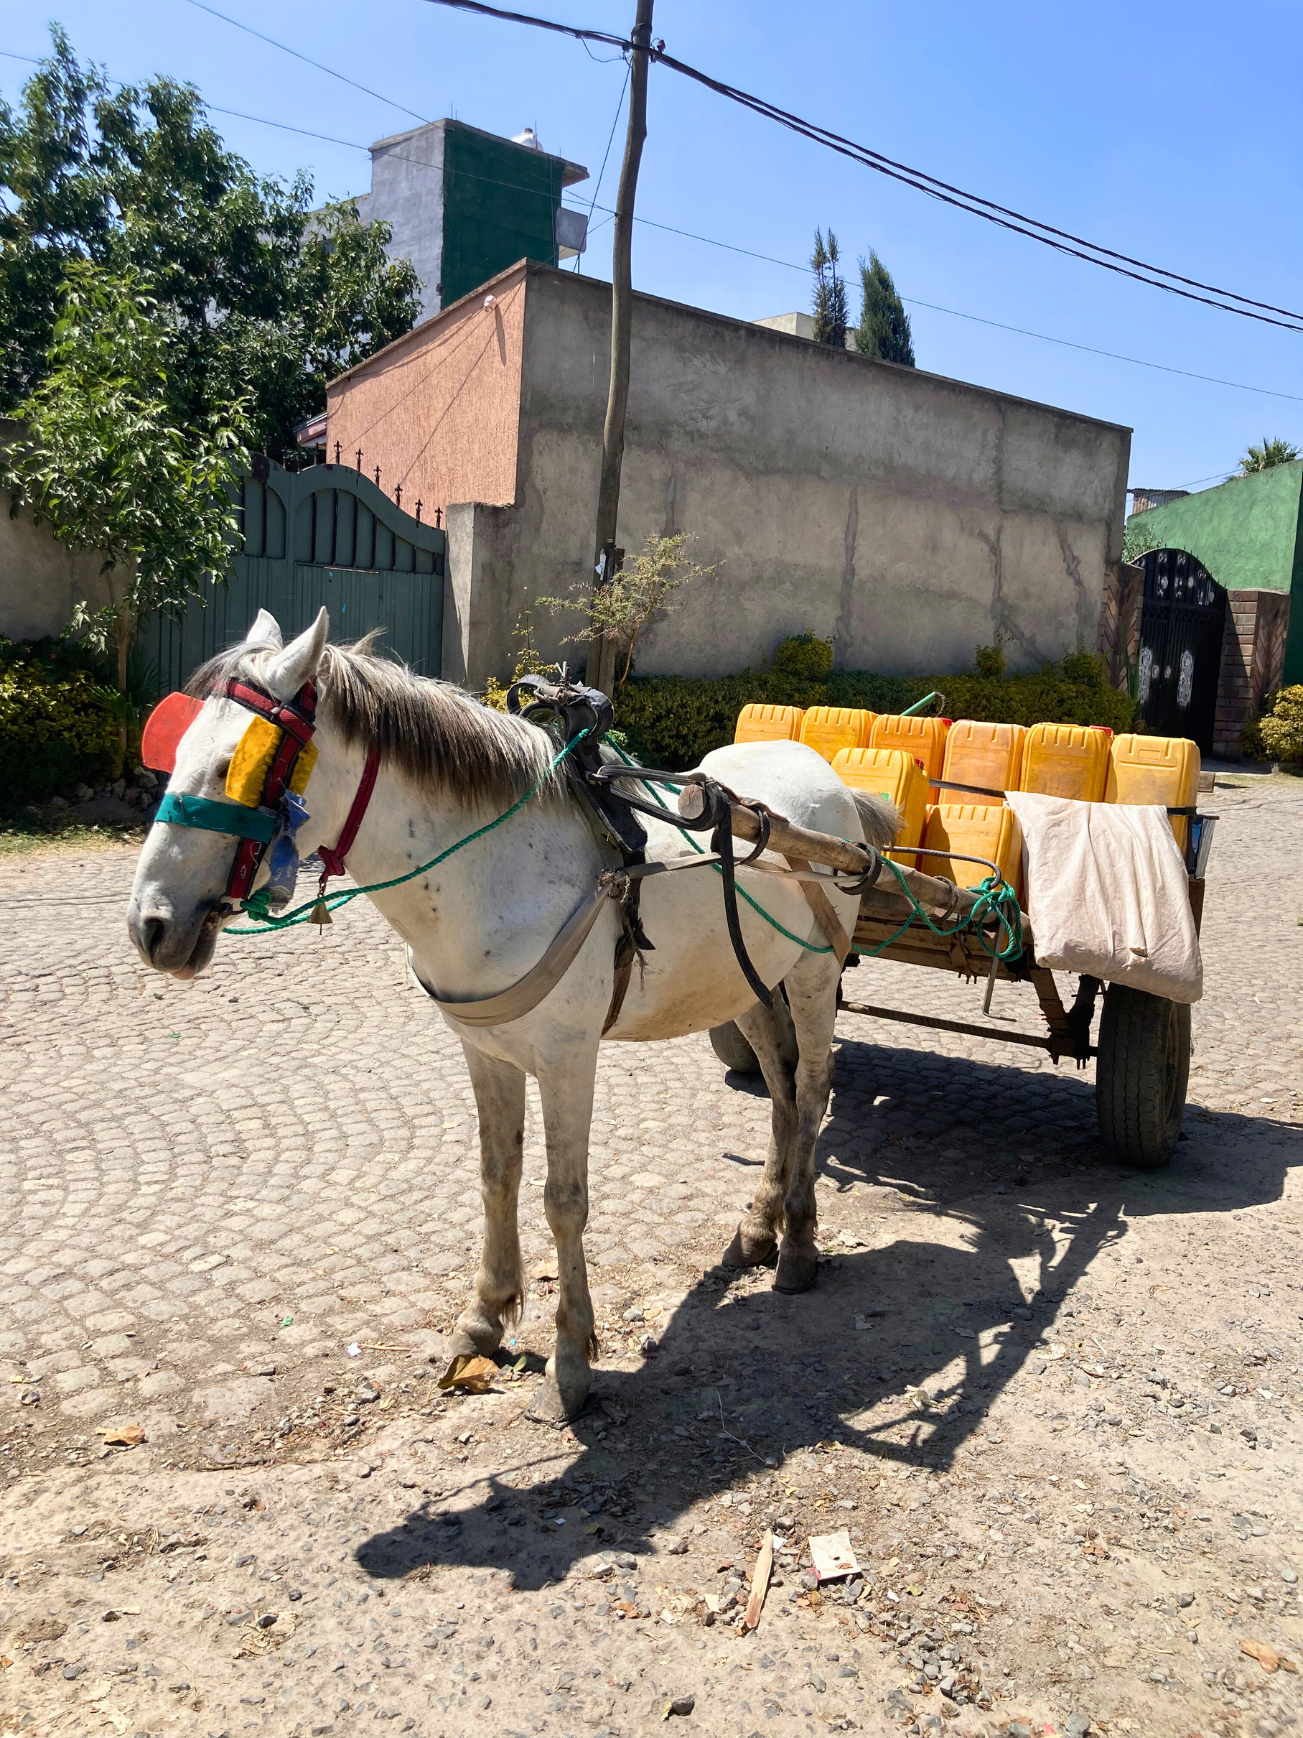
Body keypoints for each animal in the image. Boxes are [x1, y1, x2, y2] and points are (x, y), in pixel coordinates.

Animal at [127, 609, 897, 1421]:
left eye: (233, 767)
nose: (150, 925)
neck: (497, 871)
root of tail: (826, 779)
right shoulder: (486, 1051)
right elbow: (497, 1176)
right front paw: (484, 1318)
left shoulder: (567, 1061)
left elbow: (564, 1200)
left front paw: (571, 1359)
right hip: (743, 982)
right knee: (779, 1089)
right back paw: (759, 1224)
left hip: (812, 974)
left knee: (811, 1089)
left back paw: (800, 1243)